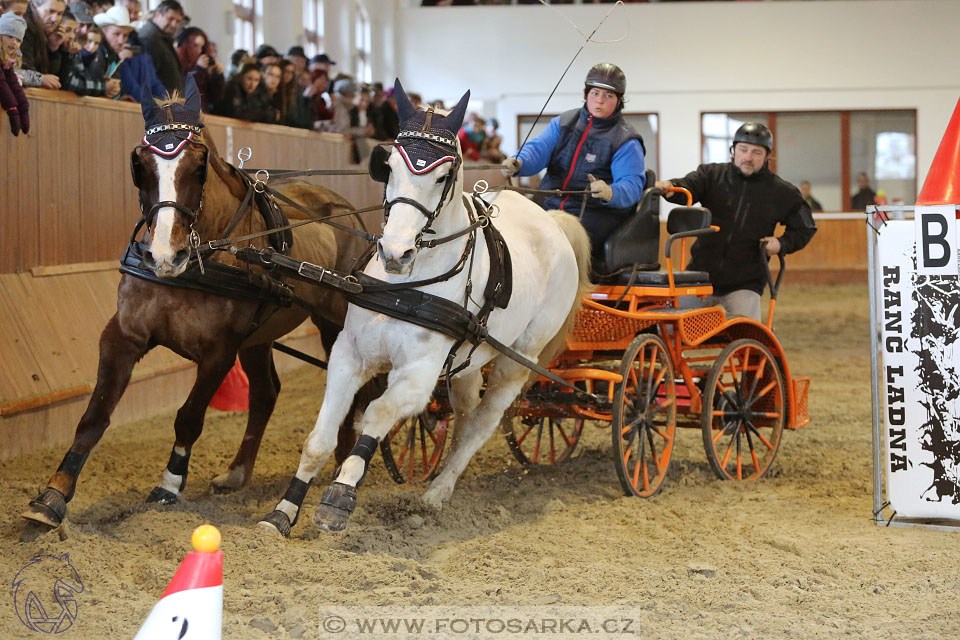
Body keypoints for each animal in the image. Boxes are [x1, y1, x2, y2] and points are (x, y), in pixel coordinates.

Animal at [22, 82, 376, 528]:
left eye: (198, 166)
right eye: (141, 164)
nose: (163, 256)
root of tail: (351, 215)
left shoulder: (219, 351)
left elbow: (188, 418)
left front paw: (169, 485)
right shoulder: (123, 335)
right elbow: (94, 416)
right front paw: (52, 494)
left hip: (334, 323)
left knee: (351, 388)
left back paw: (343, 458)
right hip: (258, 337)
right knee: (266, 394)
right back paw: (237, 473)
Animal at [258, 81, 596, 540]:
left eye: (441, 176)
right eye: (389, 168)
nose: (395, 252)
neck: (406, 287)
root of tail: (553, 219)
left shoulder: (417, 375)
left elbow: (377, 415)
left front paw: (338, 499)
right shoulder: (349, 355)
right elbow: (319, 440)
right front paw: (281, 514)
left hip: (519, 358)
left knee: (485, 420)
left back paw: (436, 493)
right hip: (471, 359)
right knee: (466, 414)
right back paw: (445, 479)